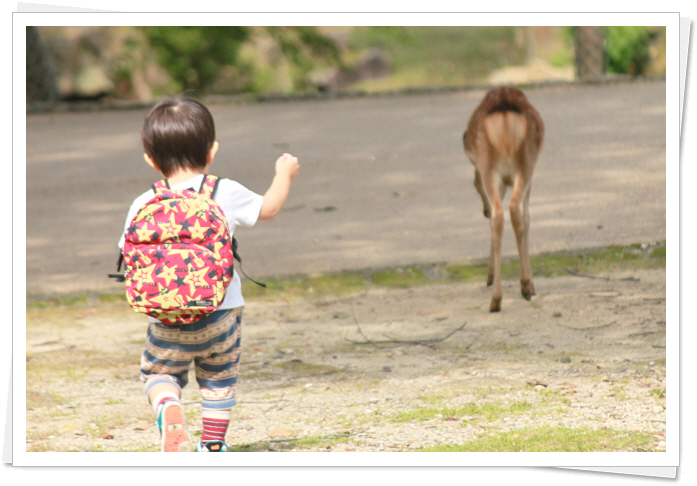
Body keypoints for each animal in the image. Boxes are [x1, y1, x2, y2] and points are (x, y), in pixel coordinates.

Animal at [462, 87, 544, 312]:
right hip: (525, 163)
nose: (483, 211)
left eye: (474, 184)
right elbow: (527, 218)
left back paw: (499, 296)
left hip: (492, 167)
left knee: (499, 216)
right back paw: (521, 287)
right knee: (512, 211)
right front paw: (531, 283)